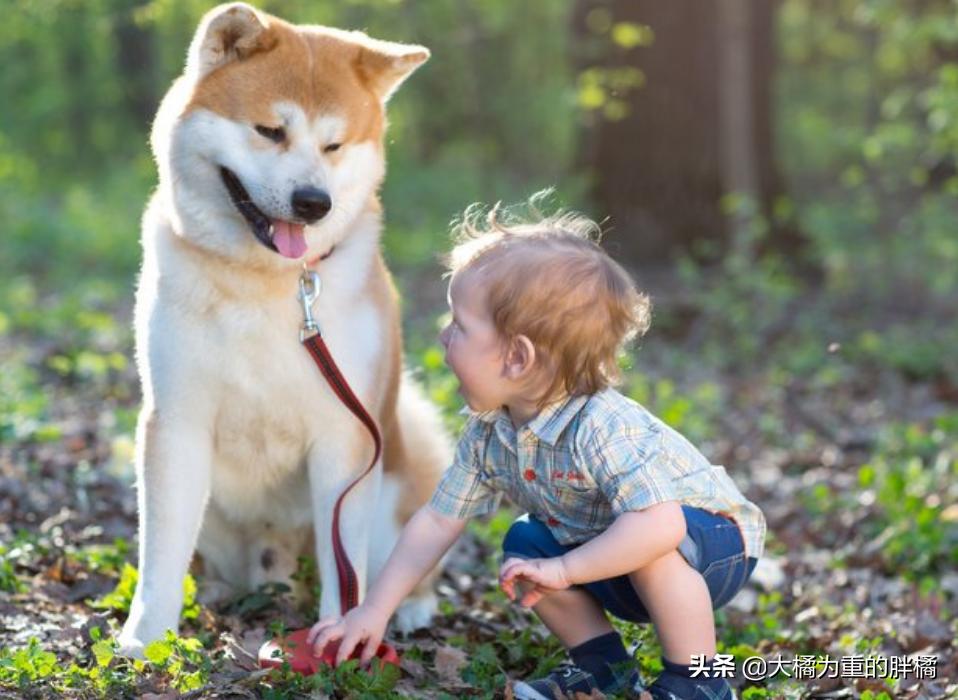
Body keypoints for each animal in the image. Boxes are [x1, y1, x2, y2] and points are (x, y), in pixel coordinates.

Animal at [118, 2, 452, 652]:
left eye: (334, 144)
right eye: (271, 131)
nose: (313, 202)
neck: (265, 283)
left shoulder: (346, 436)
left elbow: (345, 568)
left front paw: (342, 638)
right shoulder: (175, 422)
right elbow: (161, 554)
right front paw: (147, 640)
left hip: (402, 469)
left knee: (398, 568)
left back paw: (407, 610)